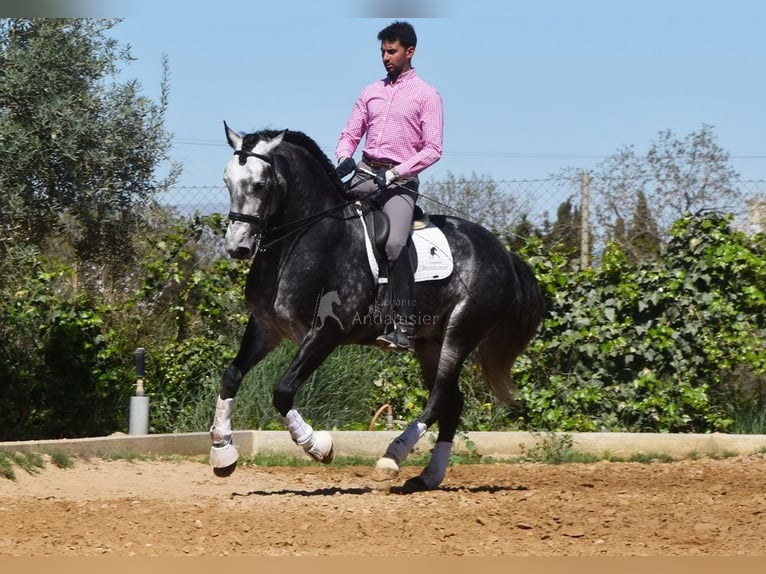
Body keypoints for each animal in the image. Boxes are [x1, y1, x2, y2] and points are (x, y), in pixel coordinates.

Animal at [210, 124, 544, 492]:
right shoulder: (266, 327)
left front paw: (319, 446)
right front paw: (223, 454)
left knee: (440, 397)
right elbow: (231, 376)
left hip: (461, 332)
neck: (305, 241)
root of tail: (504, 253)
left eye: (260, 184)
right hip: (430, 343)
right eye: (227, 180)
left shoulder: (327, 332)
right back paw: (428, 476)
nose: (237, 246)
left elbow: (283, 391)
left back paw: (391, 459)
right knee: (452, 402)